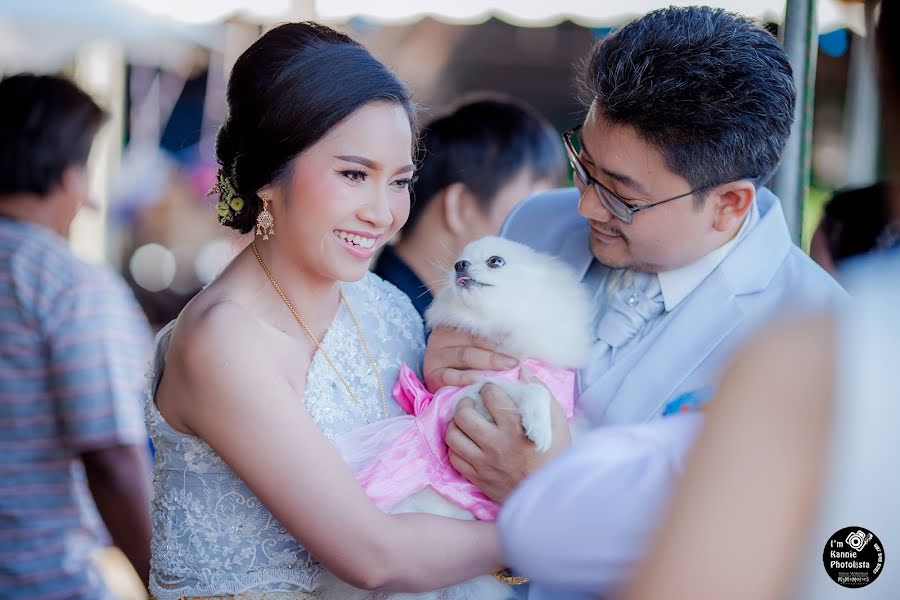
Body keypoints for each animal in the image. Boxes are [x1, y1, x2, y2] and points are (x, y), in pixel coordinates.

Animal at [320, 236, 596, 600]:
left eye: (495, 261)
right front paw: (539, 426)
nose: (458, 266)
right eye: (459, 260)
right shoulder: (467, 395)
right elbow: (531, 389)